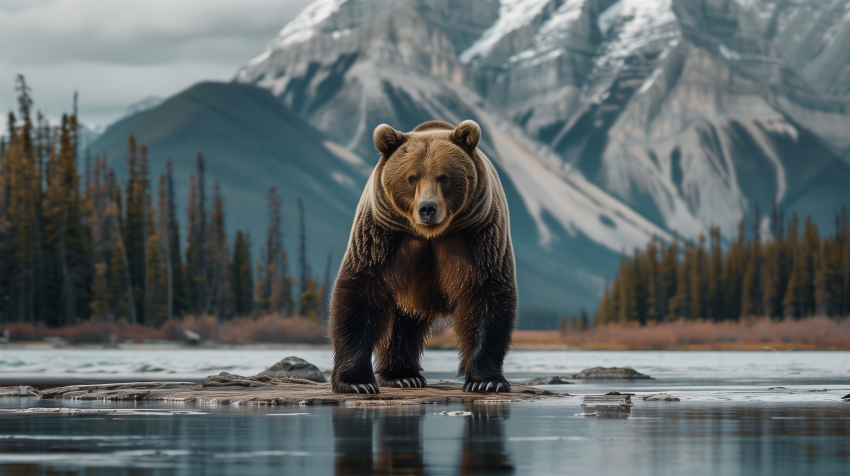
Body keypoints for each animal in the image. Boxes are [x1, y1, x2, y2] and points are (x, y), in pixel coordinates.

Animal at [329, 119, 517, 394]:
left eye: (444, 177)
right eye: (411, 178)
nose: (427, 208)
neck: (432, 234)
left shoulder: (482, 235)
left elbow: (487, 295)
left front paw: (486, 381)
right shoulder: (380, 234)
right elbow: (359, 292)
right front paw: (357, 382)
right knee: (400, 324)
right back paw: (403, 376)